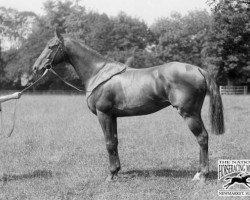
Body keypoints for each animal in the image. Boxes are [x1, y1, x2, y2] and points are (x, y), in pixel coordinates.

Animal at [32, 30, 226, 182]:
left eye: (51, 46)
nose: (36, 67)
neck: (98, 73)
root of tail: (198, 69)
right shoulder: (112, 116)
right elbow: (115, 141)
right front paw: (117, 171)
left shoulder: (103, 114)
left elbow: (109, 143)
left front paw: (111, 175)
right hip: (194, 113)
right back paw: (199, 173)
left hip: (189, 113)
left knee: (202, 137)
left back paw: (202, 175)